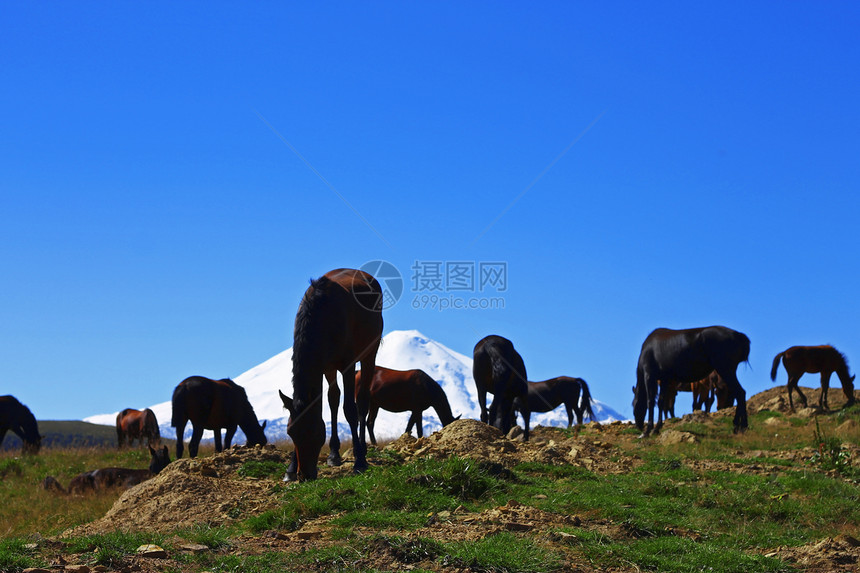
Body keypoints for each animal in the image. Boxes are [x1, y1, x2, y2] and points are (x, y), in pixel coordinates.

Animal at [278, 268, 382, 478]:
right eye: (290, 433)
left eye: (314, 432)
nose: (305, 475)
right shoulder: (322, 366)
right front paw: (291, 468)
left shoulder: (348, 365)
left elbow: (350, 410)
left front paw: (359, 461)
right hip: (330, 368)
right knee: (334, 399)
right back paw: (334, 454)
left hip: (369, 353)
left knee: (362, 403)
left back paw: (363, 450)